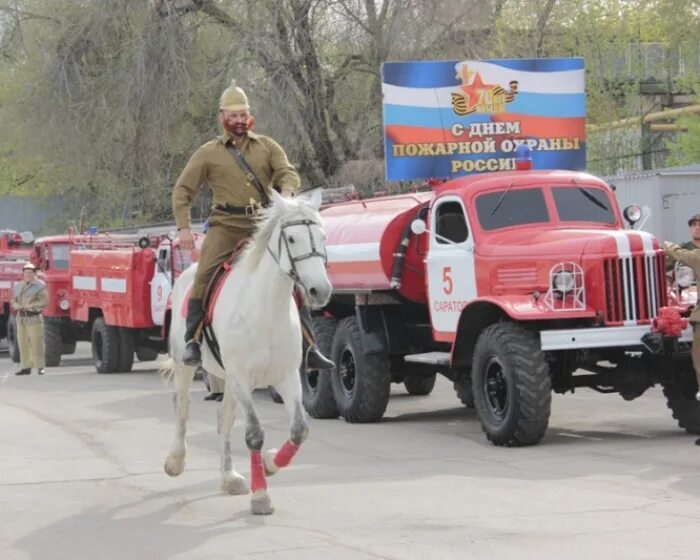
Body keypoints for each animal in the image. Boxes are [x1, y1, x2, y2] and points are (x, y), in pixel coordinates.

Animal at [161, 189, 330, 516]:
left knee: (223, 419)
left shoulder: (287, 377)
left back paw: (229, 477)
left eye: (322, 236)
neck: (266, 308)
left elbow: (299, 430)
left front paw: (271, 463)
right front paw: (261, 495)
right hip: (188, 366)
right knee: (183, 408)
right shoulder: (241, 378)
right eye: (292, 239)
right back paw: (175, 460)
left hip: (228, 380)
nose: (321, 290)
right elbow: (254, 434)